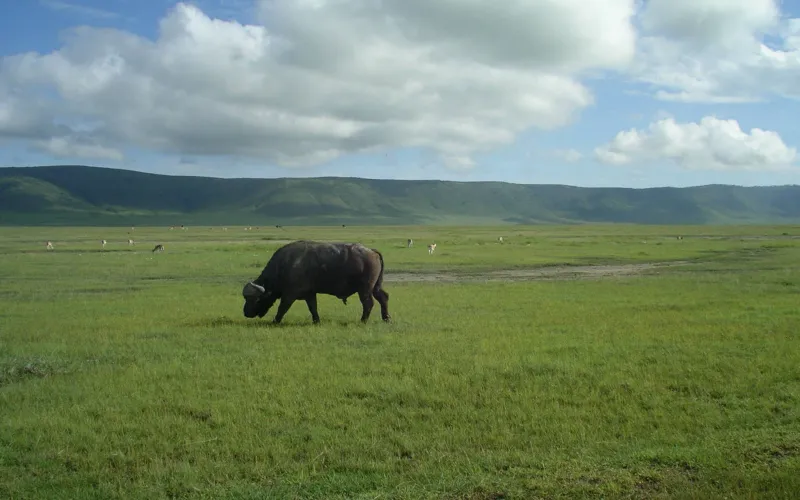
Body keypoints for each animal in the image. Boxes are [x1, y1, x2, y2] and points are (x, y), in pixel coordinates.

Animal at [242, 240, 391, 324]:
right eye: (246, 298)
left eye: (255, 299)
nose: (246, 313)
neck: (285, 265)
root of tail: (372, 251)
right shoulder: (310, 294)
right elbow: (313, 308)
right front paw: (316, 321)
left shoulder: (290, 295)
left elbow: (282, 308)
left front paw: (275, 321)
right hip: (375, 287)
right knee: (383, 297)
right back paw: (386, 318)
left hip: (365, 289)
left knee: (368, 303)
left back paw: (363, 321)